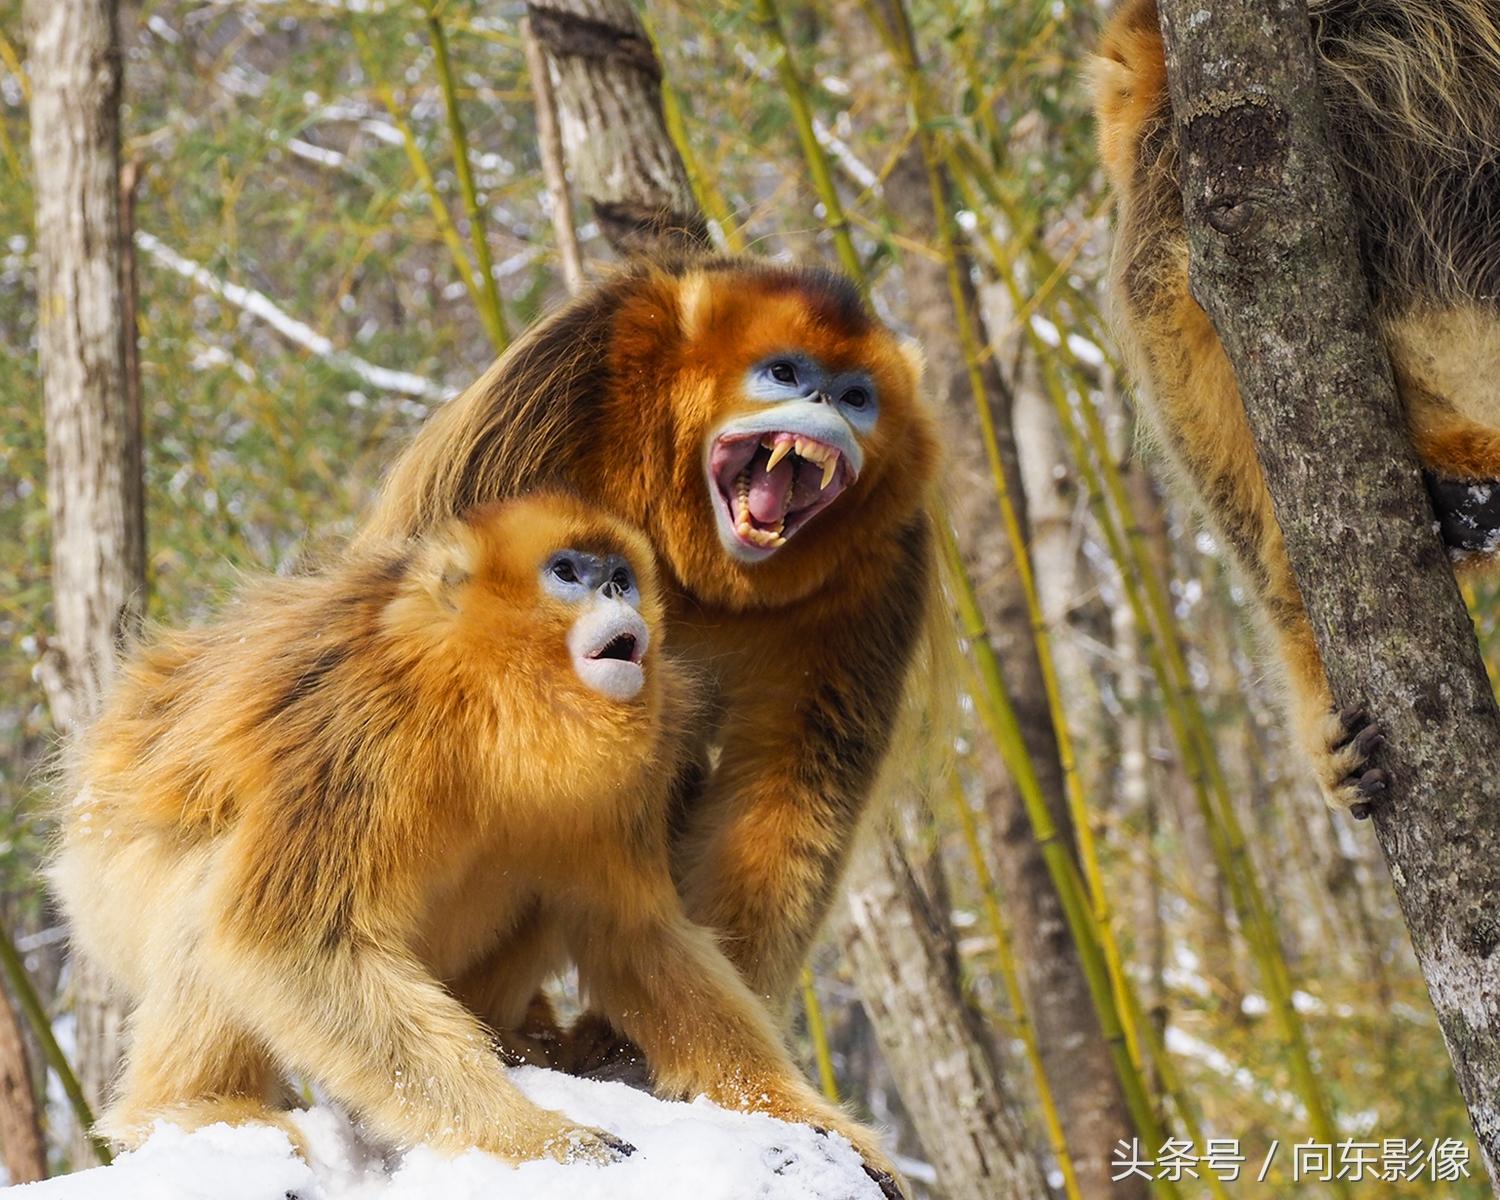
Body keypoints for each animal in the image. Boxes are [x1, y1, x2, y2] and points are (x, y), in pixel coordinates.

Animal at [52, 492, 900, 1188]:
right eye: (569, 574)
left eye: (621, 577)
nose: (614, 594)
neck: (483, 694)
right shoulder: (361, 722)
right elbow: (289, 941)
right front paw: (532, 1139)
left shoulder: (627, 769)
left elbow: (633, 933)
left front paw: (801, 1112)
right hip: (109, 893)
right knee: (212, 888)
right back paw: (190, 1110)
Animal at [358, 255, 942, 1014]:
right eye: (784, 374)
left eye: (856, 396)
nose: (828, 407)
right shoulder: (559, 385)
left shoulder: (886, 565)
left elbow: (789, 787)